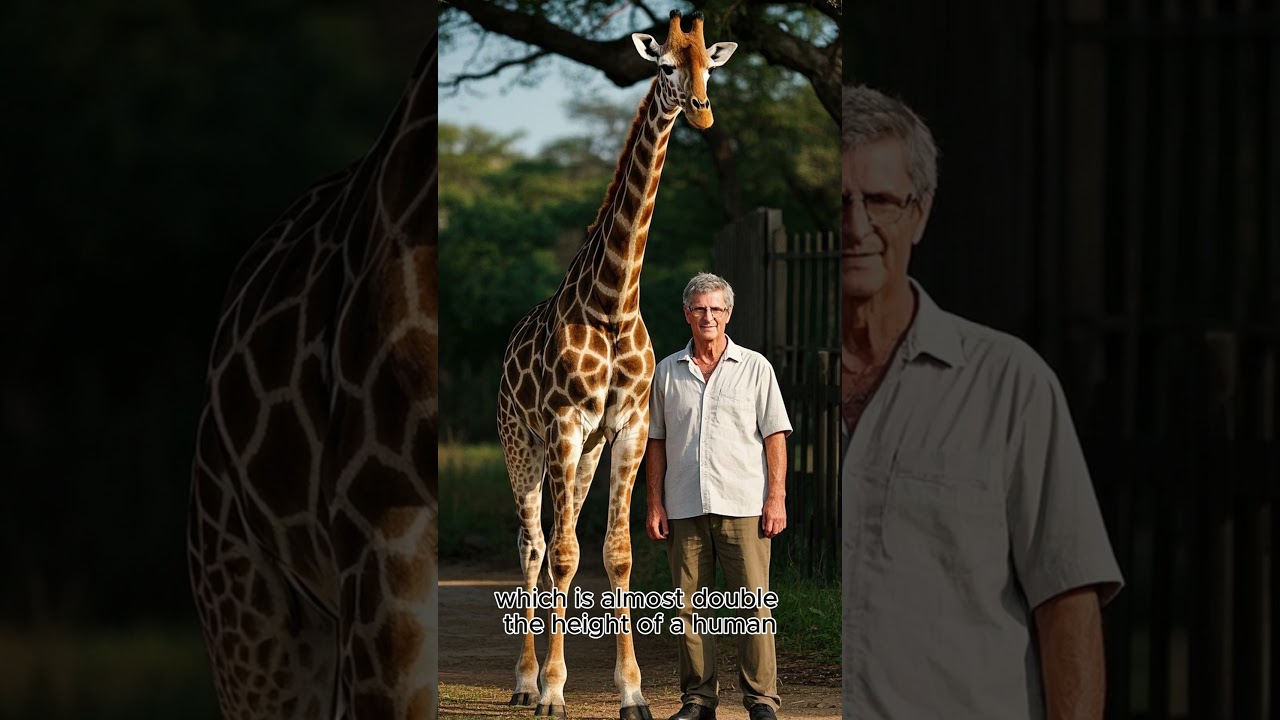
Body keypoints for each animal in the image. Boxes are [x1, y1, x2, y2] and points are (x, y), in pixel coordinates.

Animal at [497, 10, 737, 720]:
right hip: (522, 441)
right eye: (665, 65)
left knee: (564, 536)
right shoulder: (564, 422)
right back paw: (526, 682)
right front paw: (553, 691)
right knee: (534, 544)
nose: (701, 112)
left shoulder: (625, 426)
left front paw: (632, 693)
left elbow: (616, 553)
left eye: (709, 67)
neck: (611, 302)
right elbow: (561, 553)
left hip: (582, 452)